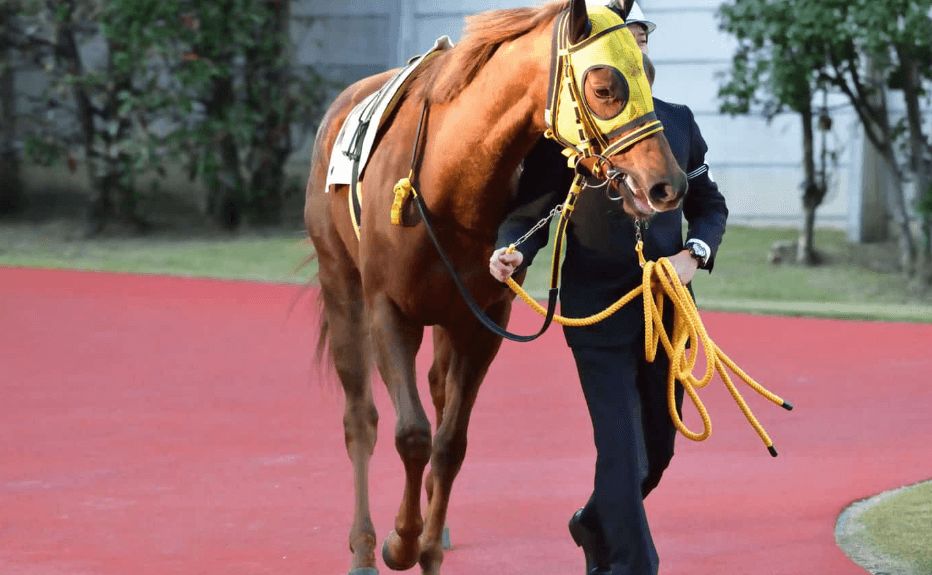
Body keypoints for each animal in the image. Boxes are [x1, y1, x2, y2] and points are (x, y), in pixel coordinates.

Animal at [304, 1, 687, 573]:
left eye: (651, 73)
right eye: (604, 87)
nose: (668, 185)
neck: (448, 175)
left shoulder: (483, 319)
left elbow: (450, 443)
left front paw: (426, 546)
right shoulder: (387, 309)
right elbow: (411, 434)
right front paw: (399, 542)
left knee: (437, 395)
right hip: (341, 284)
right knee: (361, 419)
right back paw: (365, 548)